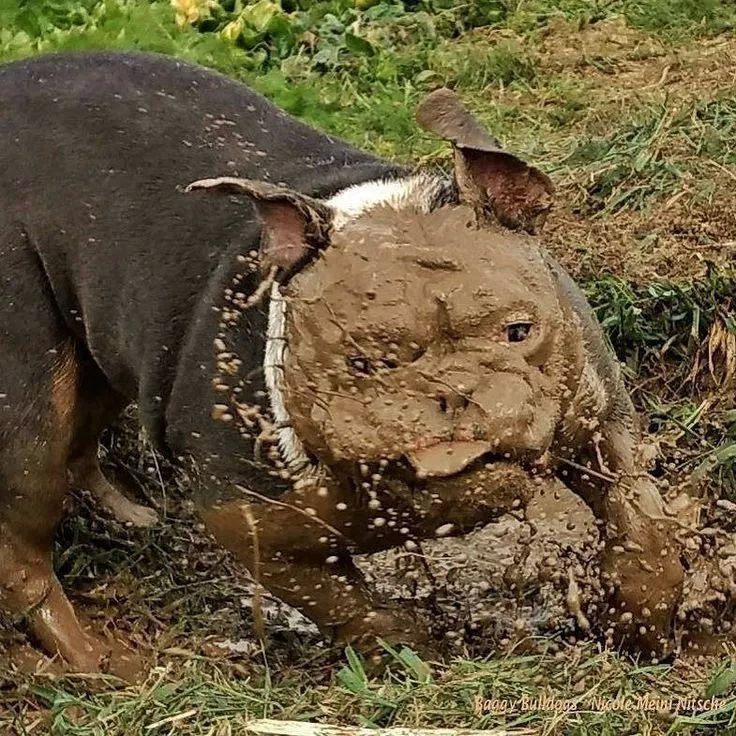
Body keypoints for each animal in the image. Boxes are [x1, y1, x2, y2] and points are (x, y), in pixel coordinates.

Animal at [0, 53, 684, 672]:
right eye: (359, 364)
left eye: (519, 331)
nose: (451, 391)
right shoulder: (249, 522)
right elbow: (344, 603)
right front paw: (412, 655)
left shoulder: (600, 418)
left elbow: (638, 517)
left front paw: (646, 622)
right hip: (27, 387)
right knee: (25, 539)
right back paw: (103, 664)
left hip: (93, 348)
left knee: (83, 431)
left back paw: (133, 519)